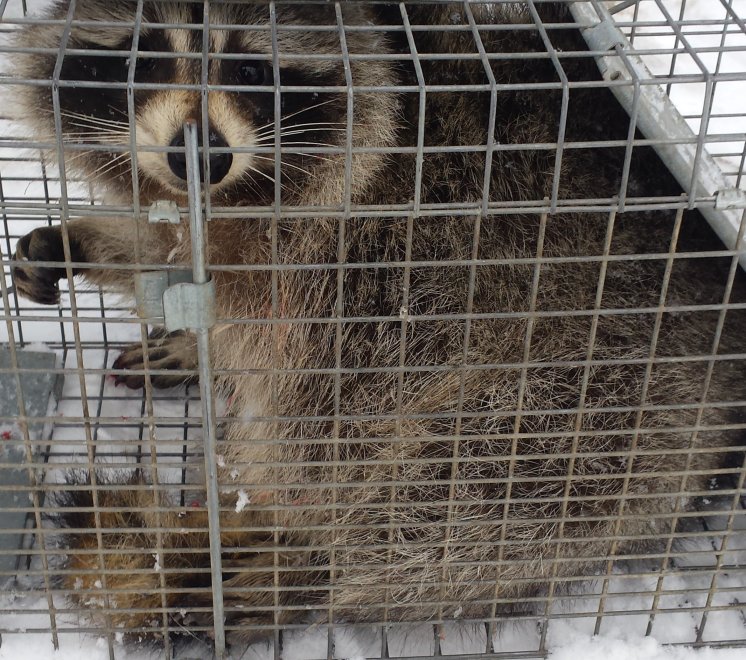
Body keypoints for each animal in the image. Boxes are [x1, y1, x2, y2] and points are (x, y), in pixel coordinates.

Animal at [10, 0, 744, 648]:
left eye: (250, 68)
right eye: (146, 54)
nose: (200, 156)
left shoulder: (374, 261)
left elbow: (322, 419)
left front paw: (288, 524)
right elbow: (173, 261)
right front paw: (92, 245)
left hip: (609, 392)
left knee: (465, 492)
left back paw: (303, 558)